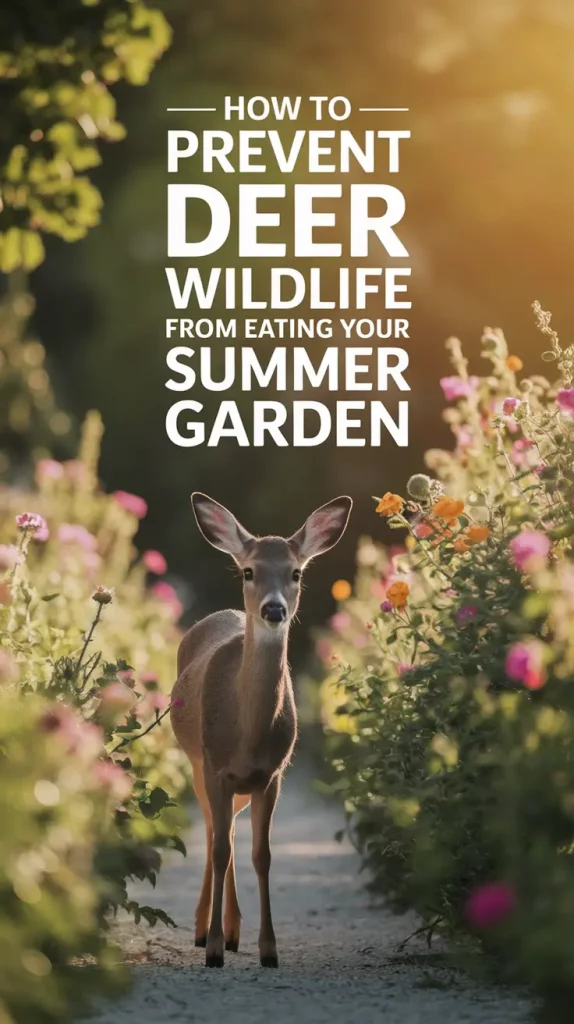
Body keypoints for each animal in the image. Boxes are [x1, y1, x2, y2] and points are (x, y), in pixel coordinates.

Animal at [170, 492, 352, 969]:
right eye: (249, 571)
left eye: (296, 572)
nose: (274, 609)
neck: (247, 736)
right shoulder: (215, 765)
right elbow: (220, 849)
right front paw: (213, 949)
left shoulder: (273, 775)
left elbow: (262, 854)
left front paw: (268, 950)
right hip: (195, 762)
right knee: (215, 833)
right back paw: (206, 930)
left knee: (230, 833)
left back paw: (234, 932)